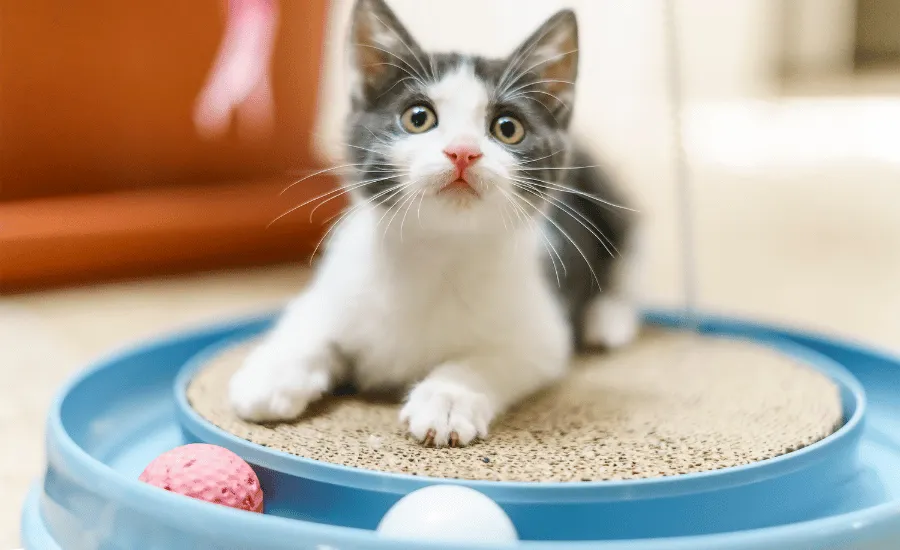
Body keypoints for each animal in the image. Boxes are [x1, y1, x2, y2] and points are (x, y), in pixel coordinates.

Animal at [230, 0, 640, 448]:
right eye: (418, 118)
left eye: (508, 128)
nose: (462, 152)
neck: (438, 248)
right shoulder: (334, 289)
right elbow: (307, 326)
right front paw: (270, 375)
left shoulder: (543, 334)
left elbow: (490, 359)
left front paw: (448, 400)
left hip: (612, 202)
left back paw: (608, 320)